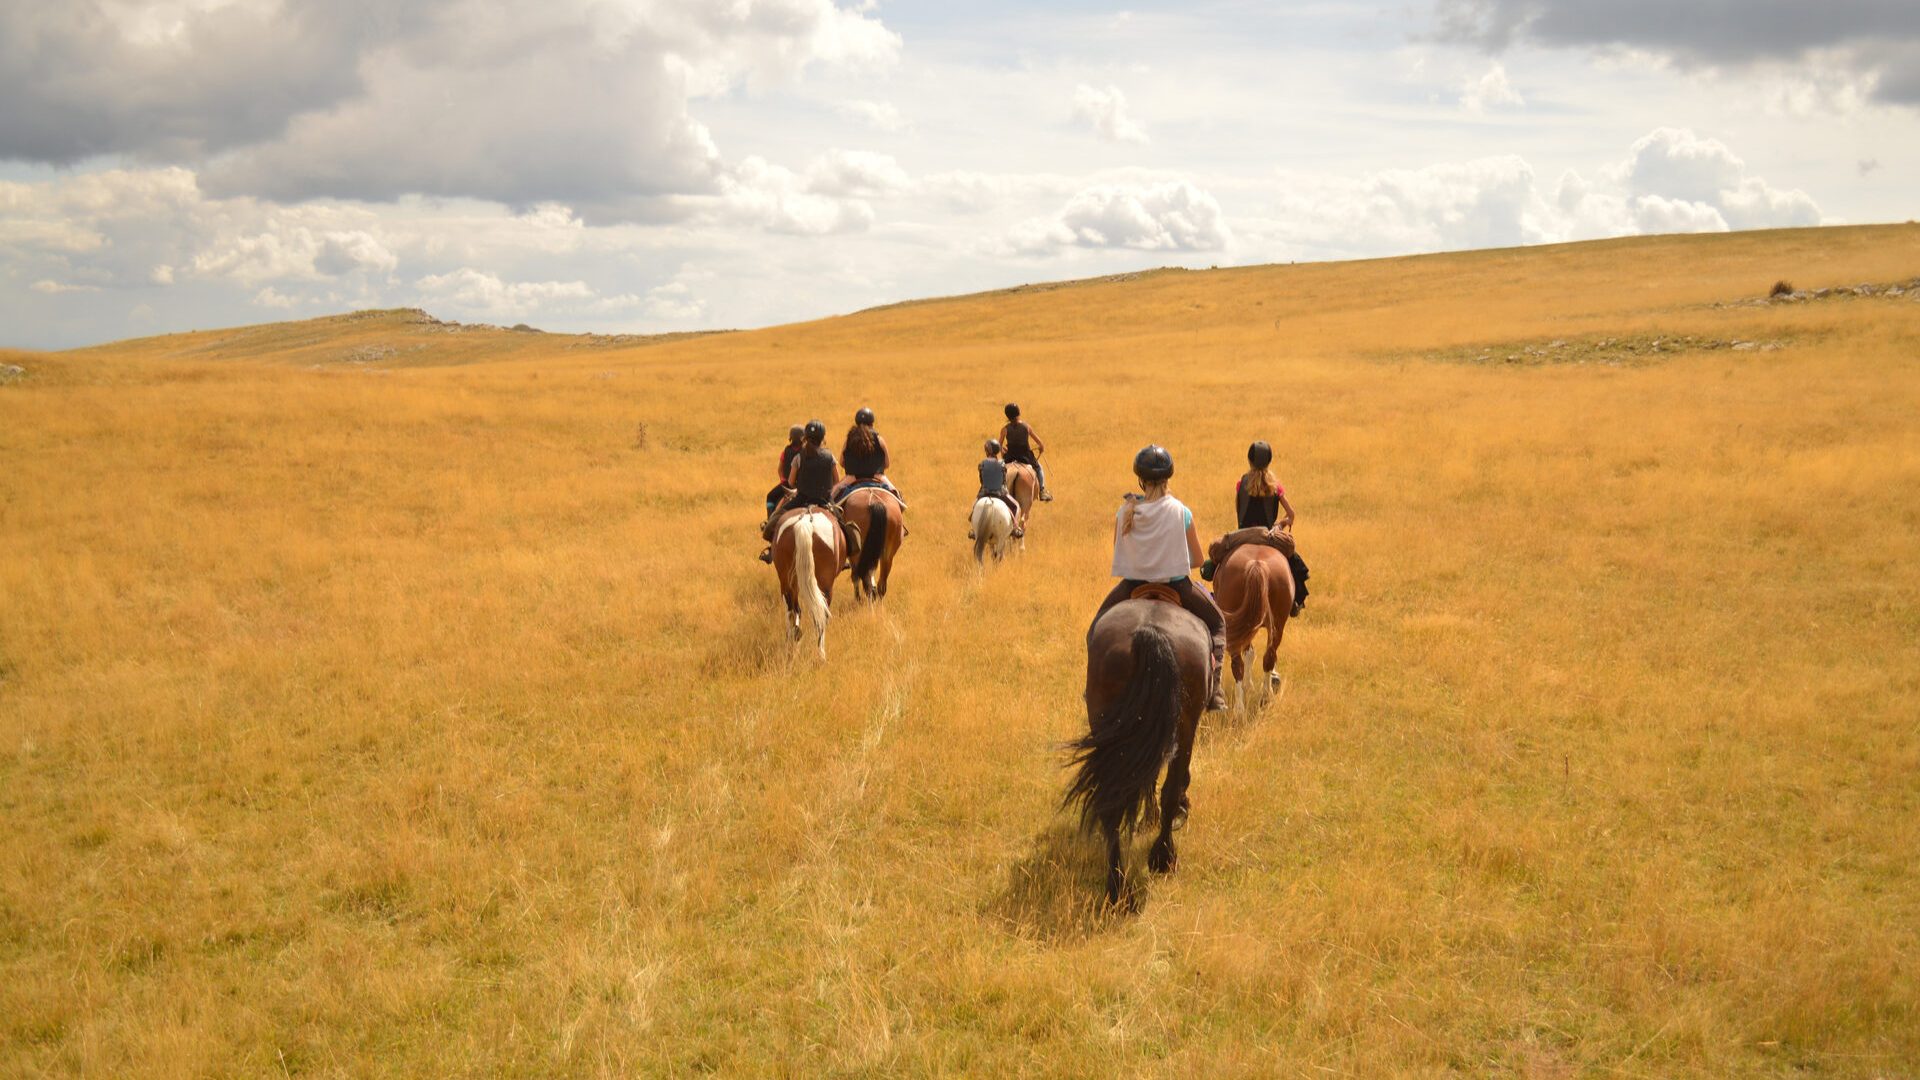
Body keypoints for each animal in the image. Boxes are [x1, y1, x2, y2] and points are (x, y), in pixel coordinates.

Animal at [775, 503, 844, 657]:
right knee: (821, 616)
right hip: (825, 585)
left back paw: (791, 646)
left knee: (792, 611)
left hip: (787, 582)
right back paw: (821, 653)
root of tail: (805, 523)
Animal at [1059, 591, 1205, 903]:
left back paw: (1117, 888)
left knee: (1111, 803)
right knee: (1170, 790)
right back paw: (1163, 858)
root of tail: (1149, 633)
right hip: (1184, 727)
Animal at [1213, 538, 1290, 707]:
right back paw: (1265, 697)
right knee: (1268, 658)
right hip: (1277, 627)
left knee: (1238, 665)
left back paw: (1240, 708)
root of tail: (1257, 564)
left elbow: (1249, 653)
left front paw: (1248, 686)